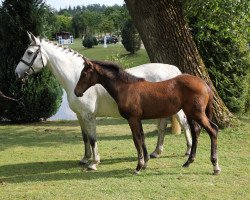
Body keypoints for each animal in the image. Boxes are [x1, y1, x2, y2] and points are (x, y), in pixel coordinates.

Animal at [15, 32, 191, 170]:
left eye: (29, 52)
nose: (17, 73)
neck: (76, 77)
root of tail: (173, 70)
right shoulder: (80, 116)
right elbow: (85, 137)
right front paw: (85, 159)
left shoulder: (88, 115)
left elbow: (93, 138)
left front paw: (94, 163)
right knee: (162, 128)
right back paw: (156, 152)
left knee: (184, 124)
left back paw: (188, 151)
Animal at [74, 59, 221, 175]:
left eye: (84, 74)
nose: (77, 92)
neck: (126, 89)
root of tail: (205, 85)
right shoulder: (138, 119)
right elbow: (142, 138)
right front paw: (145, 163)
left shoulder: (132, 119)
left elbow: (136, 139)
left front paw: (138, 167)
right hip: (191, 114)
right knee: (196, 132)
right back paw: (188, 162)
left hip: (197, 114)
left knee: (213, 130)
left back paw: (215, 166)